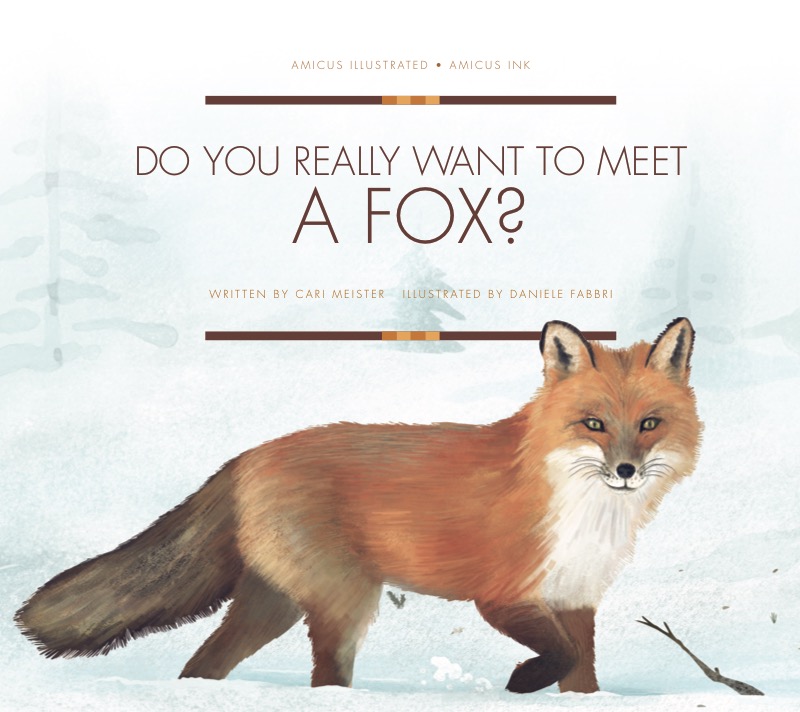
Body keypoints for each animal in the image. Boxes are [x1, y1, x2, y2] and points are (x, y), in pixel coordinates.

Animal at [16, 318, 701, 694]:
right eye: (593, 424)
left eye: (649, 424)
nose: (625, 471)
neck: (584, 512)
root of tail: (248, 455)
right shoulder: (504, 595)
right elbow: (557, 655)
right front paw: (522, 682)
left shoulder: (576, 599)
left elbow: (582, 673)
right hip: (343, 602)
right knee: (324, 679)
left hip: (274, 606)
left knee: (201, 665)